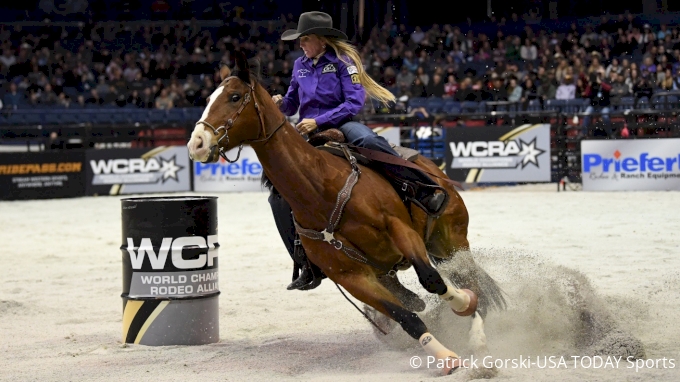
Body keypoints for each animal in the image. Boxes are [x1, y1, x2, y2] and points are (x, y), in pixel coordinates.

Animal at [186, 55, 504, 374]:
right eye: (209, 98)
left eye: (234, 96)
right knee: (417, 300)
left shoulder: (401, 230)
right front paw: (446, 358)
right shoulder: (352, 277)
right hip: (396, 268)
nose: (196, 143)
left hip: (451, 238)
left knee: (469, 279)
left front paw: (464, 307)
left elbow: (433, 280)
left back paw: (478, 338)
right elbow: (407, 316)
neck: (321, 187)